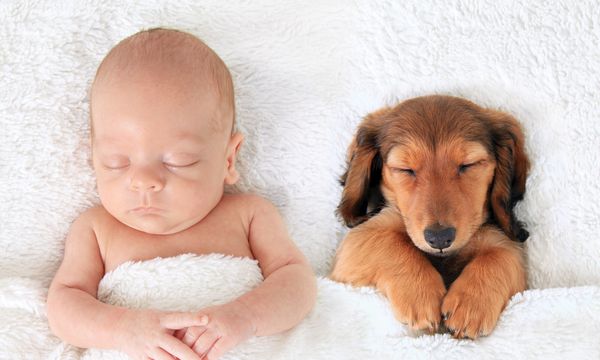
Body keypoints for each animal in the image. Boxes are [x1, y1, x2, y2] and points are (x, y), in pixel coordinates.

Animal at [330, 94, 532, 338]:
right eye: (405, 169)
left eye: (468, 165)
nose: (439, 238)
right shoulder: (356, 245)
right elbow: (389, 241)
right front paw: (421, 294)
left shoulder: (499, 240)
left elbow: (502, 255)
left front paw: (471, 305)